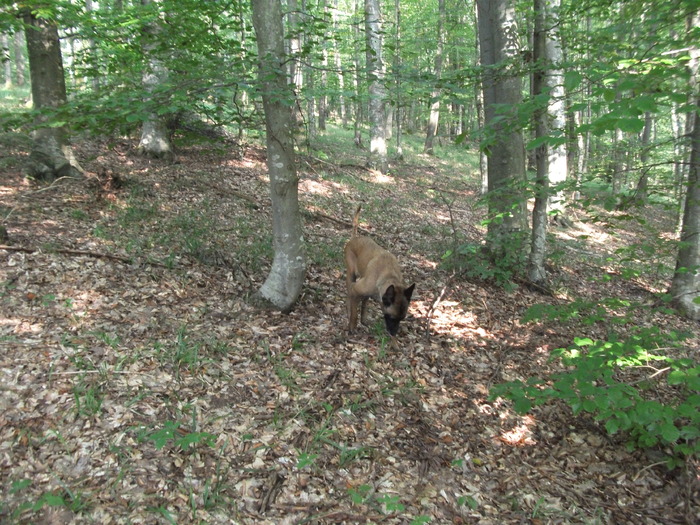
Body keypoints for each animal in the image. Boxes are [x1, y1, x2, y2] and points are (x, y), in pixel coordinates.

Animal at [346, 205, 416, 340]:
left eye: (402, 319)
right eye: (392, 318)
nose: (393, 334)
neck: (388, 277)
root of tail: (355, 238)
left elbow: (363, 305)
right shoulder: (355, 290)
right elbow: (354, 313)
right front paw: (352, 326)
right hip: (351, 275)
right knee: (349, 291)